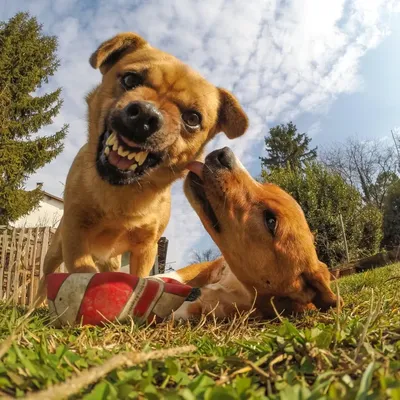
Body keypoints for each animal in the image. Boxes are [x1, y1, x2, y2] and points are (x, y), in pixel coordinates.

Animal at [35, 32, 247, 304]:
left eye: (192, 119)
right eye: (130, 79)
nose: (146, 115)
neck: (122, 194)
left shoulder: (146, 248)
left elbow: (138, 278)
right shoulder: (75, 234)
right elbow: (81, 269)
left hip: (112, 260)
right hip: (54, 252)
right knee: (44, 280)